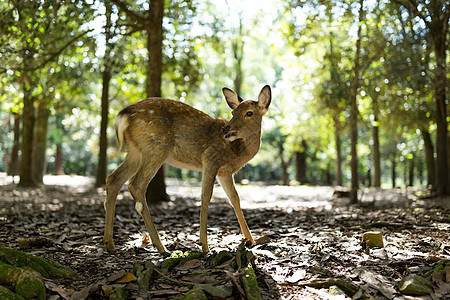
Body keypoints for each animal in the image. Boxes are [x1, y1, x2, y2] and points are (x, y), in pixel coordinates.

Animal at [103, 85, 270, 254]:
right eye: (233, 112)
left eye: (249, 113)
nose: (226, 129)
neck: (236, 152)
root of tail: (123, 116)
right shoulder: (210, 159)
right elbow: (205, 196)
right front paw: (204, 245)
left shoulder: (225, 173)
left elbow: (234, 198)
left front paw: (250, 240)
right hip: (156, 147)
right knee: (136, 185)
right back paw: (161, 247)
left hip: (135, 151)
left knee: (113, 179)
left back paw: (109, 243)